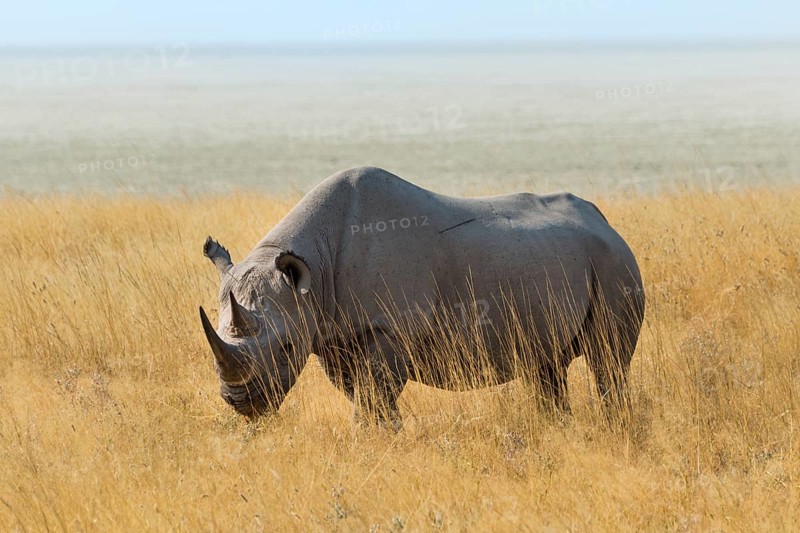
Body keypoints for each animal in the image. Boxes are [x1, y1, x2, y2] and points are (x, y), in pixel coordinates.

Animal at [199, 166, 645, 426]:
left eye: (287, 347)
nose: (241, 403)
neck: (312, 269)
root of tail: (606, 222)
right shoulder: (331, 332)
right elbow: (363, 394)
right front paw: (386, 435)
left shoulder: (389, 328)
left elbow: (375, 395)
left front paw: (378, 437)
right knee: (547, 366)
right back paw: (556, 427)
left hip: (613, 263)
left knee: (608, 361)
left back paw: (615, 425)